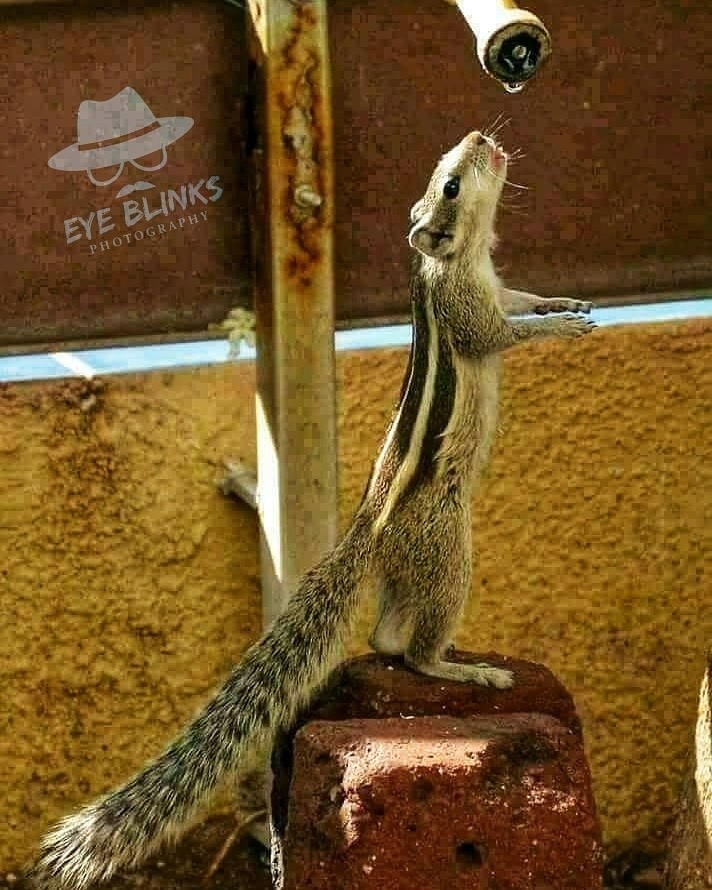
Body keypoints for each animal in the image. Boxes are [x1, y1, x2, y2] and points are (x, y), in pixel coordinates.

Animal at [29, 129, 594, 889]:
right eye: (449, 182)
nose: (479, 137)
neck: (457, 256)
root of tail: (365, 533)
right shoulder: (470, 310)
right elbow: (500, 335)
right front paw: (558, 328)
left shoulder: (497, 283)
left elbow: (521, 296)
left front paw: (559, 299)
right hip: (449, 545)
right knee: (412, 649)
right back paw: (461, 668)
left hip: (420, 562)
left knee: (384, 639)